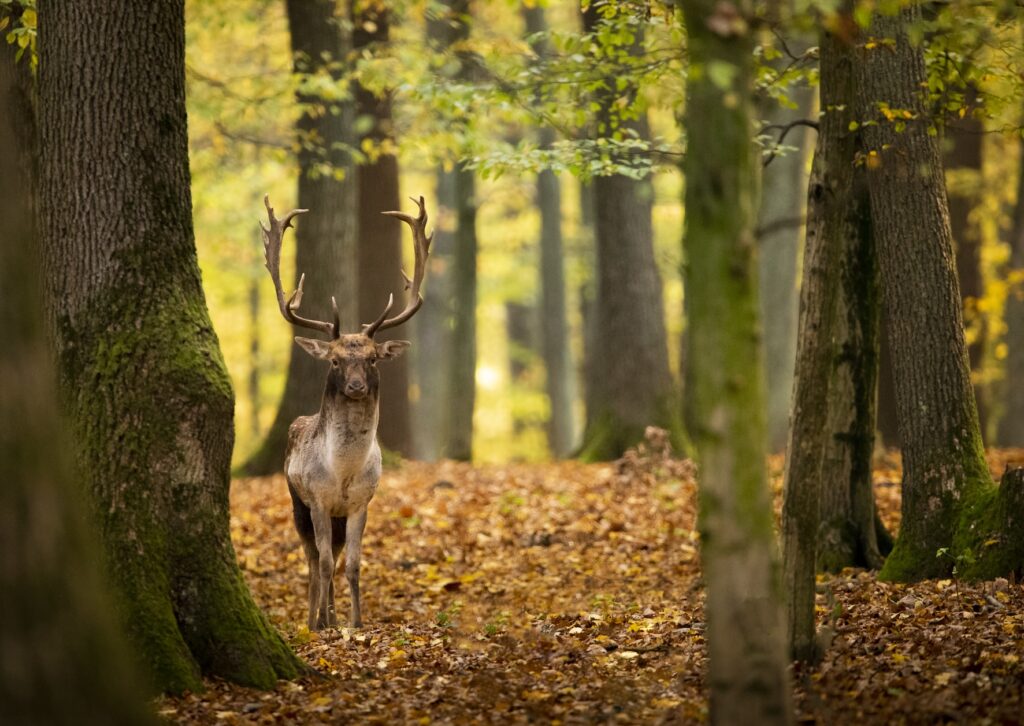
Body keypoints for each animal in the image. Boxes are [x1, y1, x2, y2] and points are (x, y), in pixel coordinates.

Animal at [260, 193, 432, 626]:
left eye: (372, 358)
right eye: (335, 360)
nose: (355, 386)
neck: (342, 473)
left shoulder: (360, 504)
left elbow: (352, 564)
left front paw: (355, 623)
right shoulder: (318, 501)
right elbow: (320, 563)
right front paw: (326, 623)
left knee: (333, 557)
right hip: (296, 502)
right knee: (311, 559)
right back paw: (315, 618)